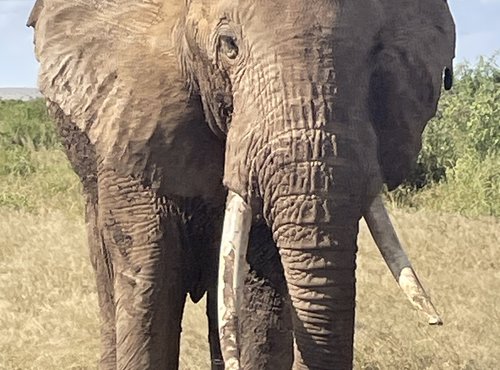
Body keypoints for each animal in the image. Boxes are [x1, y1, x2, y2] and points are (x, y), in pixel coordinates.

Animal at [29, 0, 456, 370]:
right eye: (229, 46)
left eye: (378, 54)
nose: (437, 323)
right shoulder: (130, 123)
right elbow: (150, 282)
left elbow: (259, 296)